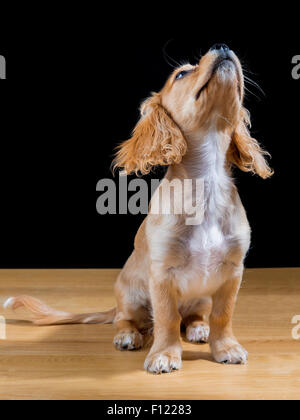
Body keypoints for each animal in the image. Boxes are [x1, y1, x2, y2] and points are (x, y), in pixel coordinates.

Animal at [4, 45, 272, 374]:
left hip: (200, 299)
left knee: (193, 316)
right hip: (130, 296)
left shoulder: (232, 271)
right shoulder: (162, 274)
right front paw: (165, 354)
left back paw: (198, 328)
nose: (221, 46)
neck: (205, 185)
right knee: (126, 319)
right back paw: (128, 336)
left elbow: (223, 315)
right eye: (182, 73)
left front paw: (226, 347)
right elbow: (167, 318)